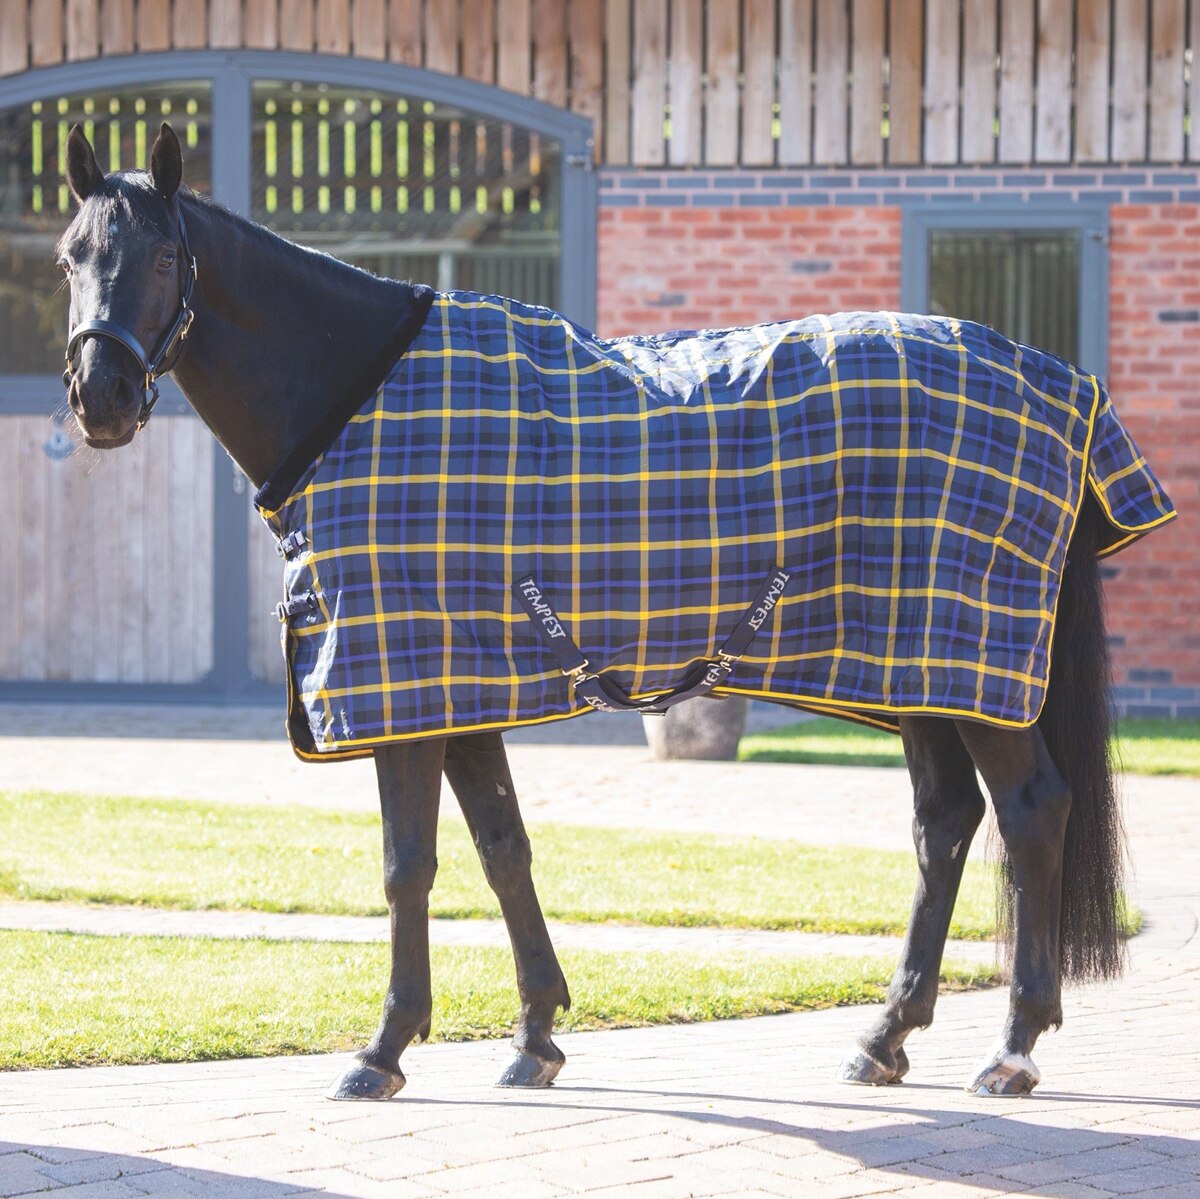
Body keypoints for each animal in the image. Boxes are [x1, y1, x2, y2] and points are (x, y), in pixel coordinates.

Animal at [56, 122, 1173, 1101]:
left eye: (163, 256)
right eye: (71, 257)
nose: (98, 397)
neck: (361, 395)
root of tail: (1062, 384)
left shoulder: (403, 690)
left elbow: (408, 867)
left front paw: (383, 1049)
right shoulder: (460, 690)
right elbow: (503, 851)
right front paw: (537, 1035)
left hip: (975, 670)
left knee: (1031, 811)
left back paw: (1013, 1048)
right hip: (922, 672)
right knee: (944, 826)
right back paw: (884, 1037)